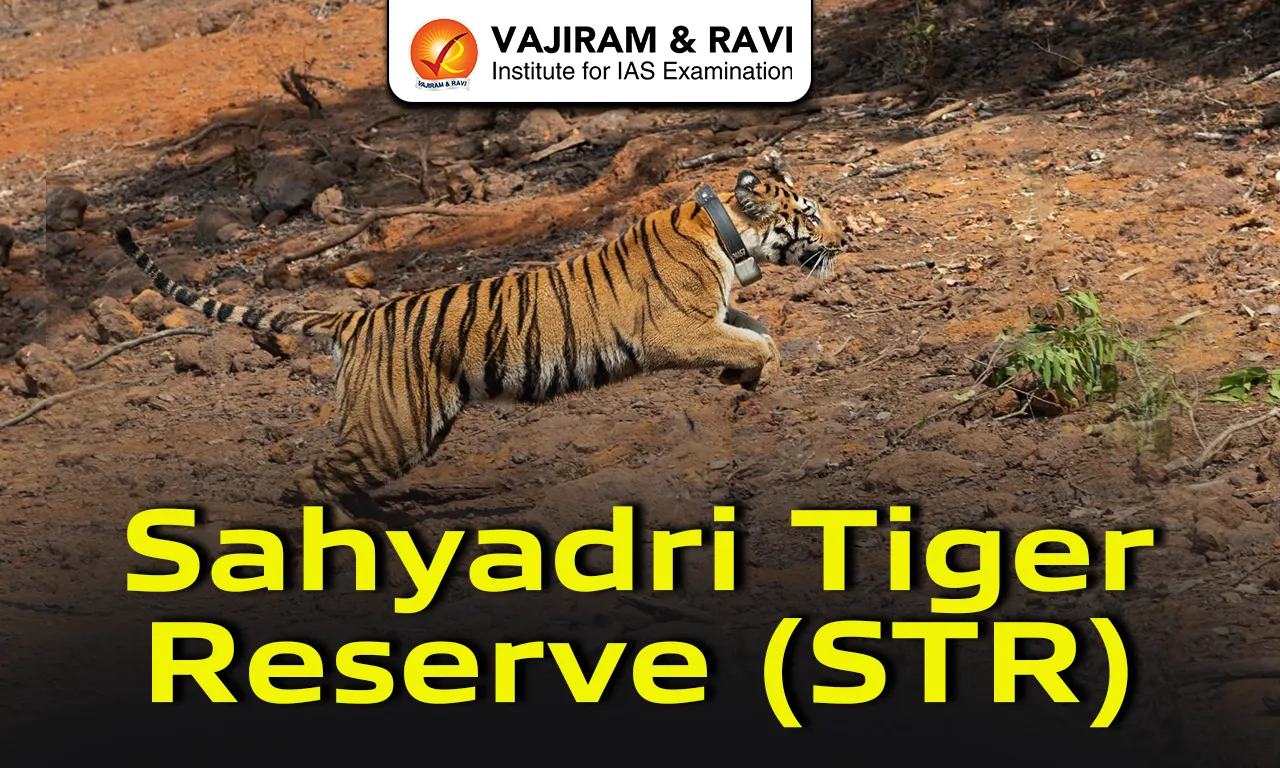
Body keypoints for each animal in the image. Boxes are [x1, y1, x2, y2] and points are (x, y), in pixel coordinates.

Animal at [113, 169, 845, 524]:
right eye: (810, 214)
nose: (846, 238)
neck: (727, 236)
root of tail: (353, 322)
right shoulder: (673, 330)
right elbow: (754, 343)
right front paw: (749, 375)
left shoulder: (715, 315)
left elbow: (758, 332)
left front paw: (740, 376)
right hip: (394, 428)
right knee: (310, 477)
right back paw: (350, 532)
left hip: (402, 426)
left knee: (335, 468)